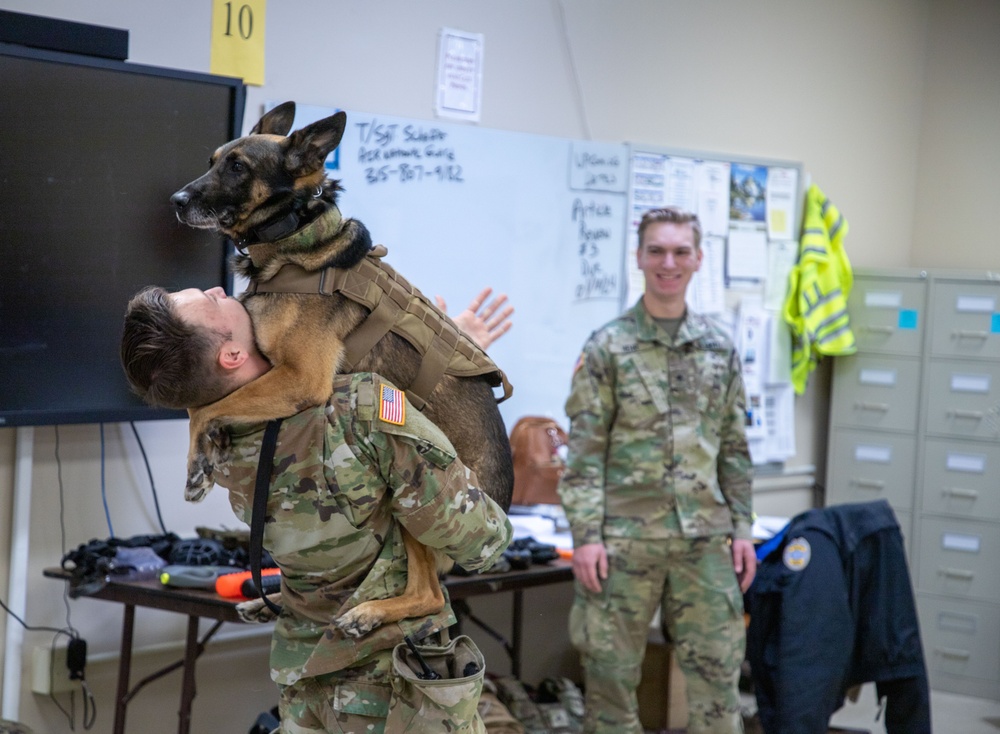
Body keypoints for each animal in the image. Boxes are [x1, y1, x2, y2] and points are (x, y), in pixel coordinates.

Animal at [169, 103, 512, 640]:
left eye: (238, 167)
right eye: (214, 160)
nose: (176, 201)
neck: (291, 235)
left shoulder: (301, 379)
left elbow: (205, 407)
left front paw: (196, 470)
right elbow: (206, 405)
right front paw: (208, 454)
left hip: (413, 503)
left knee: (431, 594)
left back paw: (367, 613)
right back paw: (270, 603)